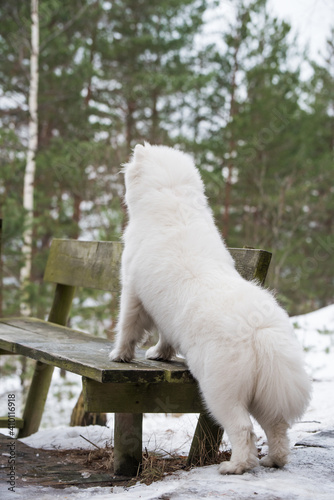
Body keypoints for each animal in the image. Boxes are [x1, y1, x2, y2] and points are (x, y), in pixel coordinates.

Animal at [111, 143, 312, 474]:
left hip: (221, 390)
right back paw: (273, 460)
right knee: (277, 428)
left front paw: (120, 356)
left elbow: (127, 327)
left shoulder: (132, 291)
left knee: (243, 428)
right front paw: (159, 354)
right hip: (263, 391)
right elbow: (165, 337)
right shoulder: (164, 315)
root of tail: (259, 328)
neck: (173, 197)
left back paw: (235, 466)